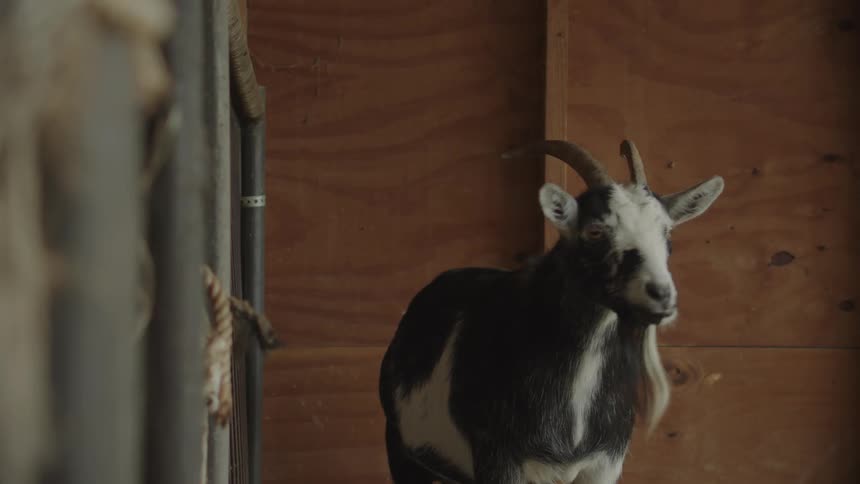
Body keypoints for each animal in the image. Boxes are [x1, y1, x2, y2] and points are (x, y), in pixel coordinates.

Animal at [379, 140, 724, 484]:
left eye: (667, 231)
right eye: (595, 231)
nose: (662, 295)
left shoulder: (605, 465)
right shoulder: (499, 462)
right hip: (402, 449)